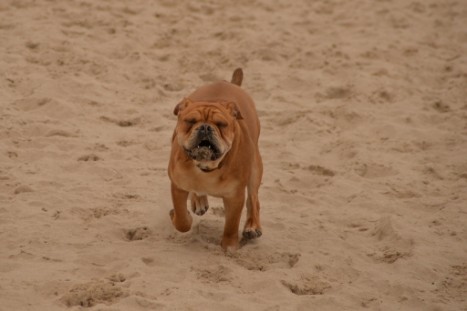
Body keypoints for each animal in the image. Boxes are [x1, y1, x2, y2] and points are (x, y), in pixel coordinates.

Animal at [168, 68, 264, 251]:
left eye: (221, 124)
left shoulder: (235, 196)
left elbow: (231, 224)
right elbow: (181, 220)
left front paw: (229, 246)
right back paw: (198, 201)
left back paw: (252, 226)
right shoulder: (178, 186)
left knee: (253, 198)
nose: (205, 127)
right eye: (190, 121)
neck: (205, 167)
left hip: (255, 168)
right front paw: (182, 217)